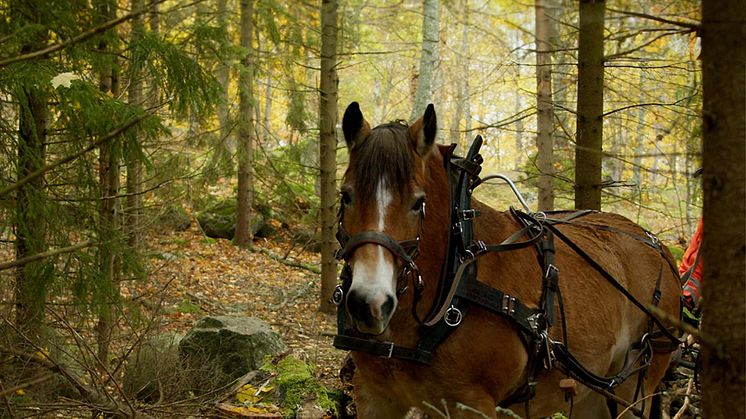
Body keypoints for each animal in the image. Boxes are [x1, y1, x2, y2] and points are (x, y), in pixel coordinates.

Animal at [334, 102, 684, 419]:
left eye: (418, 203)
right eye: (345, 195)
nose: (369, 303)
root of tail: (659, 246)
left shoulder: (472, 404)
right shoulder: (375, 396)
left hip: (636, 383)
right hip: (591, 393)